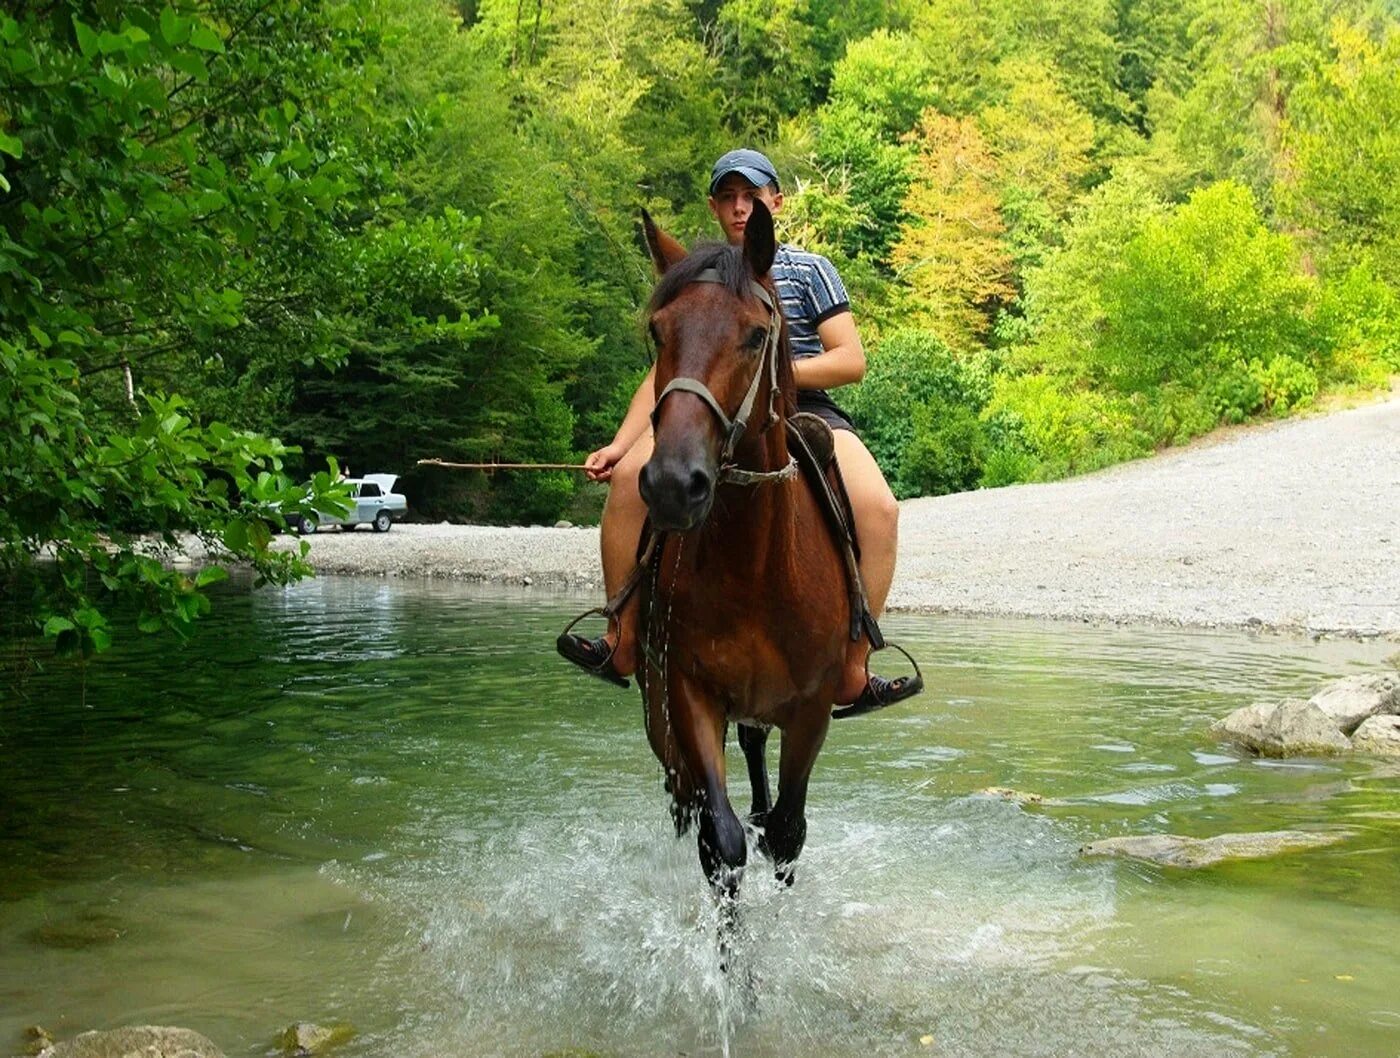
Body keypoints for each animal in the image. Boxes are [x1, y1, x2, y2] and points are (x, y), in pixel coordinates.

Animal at [638, 202, 851, 895]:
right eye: (658, 333)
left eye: (757, 336)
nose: (673, 483)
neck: (755, 567)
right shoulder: (690, 695)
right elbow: (721, 841)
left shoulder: (812, 709)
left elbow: (787, 832)